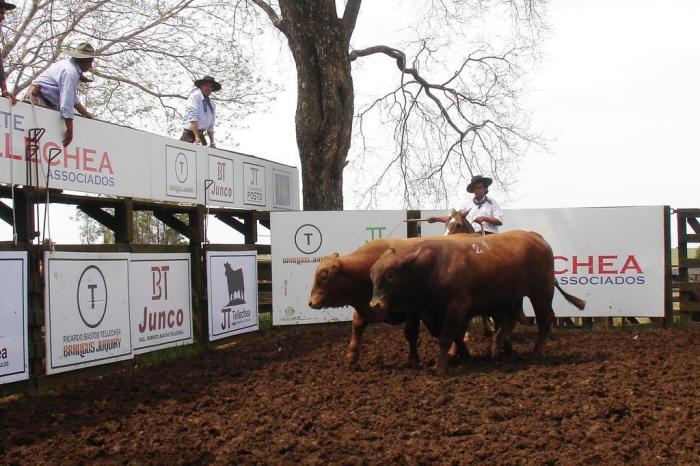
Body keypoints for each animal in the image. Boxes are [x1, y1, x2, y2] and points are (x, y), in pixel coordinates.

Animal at [370, 229, 588, 374]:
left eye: (390, 275)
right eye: (372, 276)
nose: (375, 305)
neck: (433, 267)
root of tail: (535, 236)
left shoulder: (456, 307)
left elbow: (446, 337)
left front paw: (440, 367)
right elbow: (456, 336)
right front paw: (462, 356)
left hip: (540, 293)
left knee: (544, 320)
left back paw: (536, 353)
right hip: (510, 298)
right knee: (512, 321)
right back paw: (495, 347)